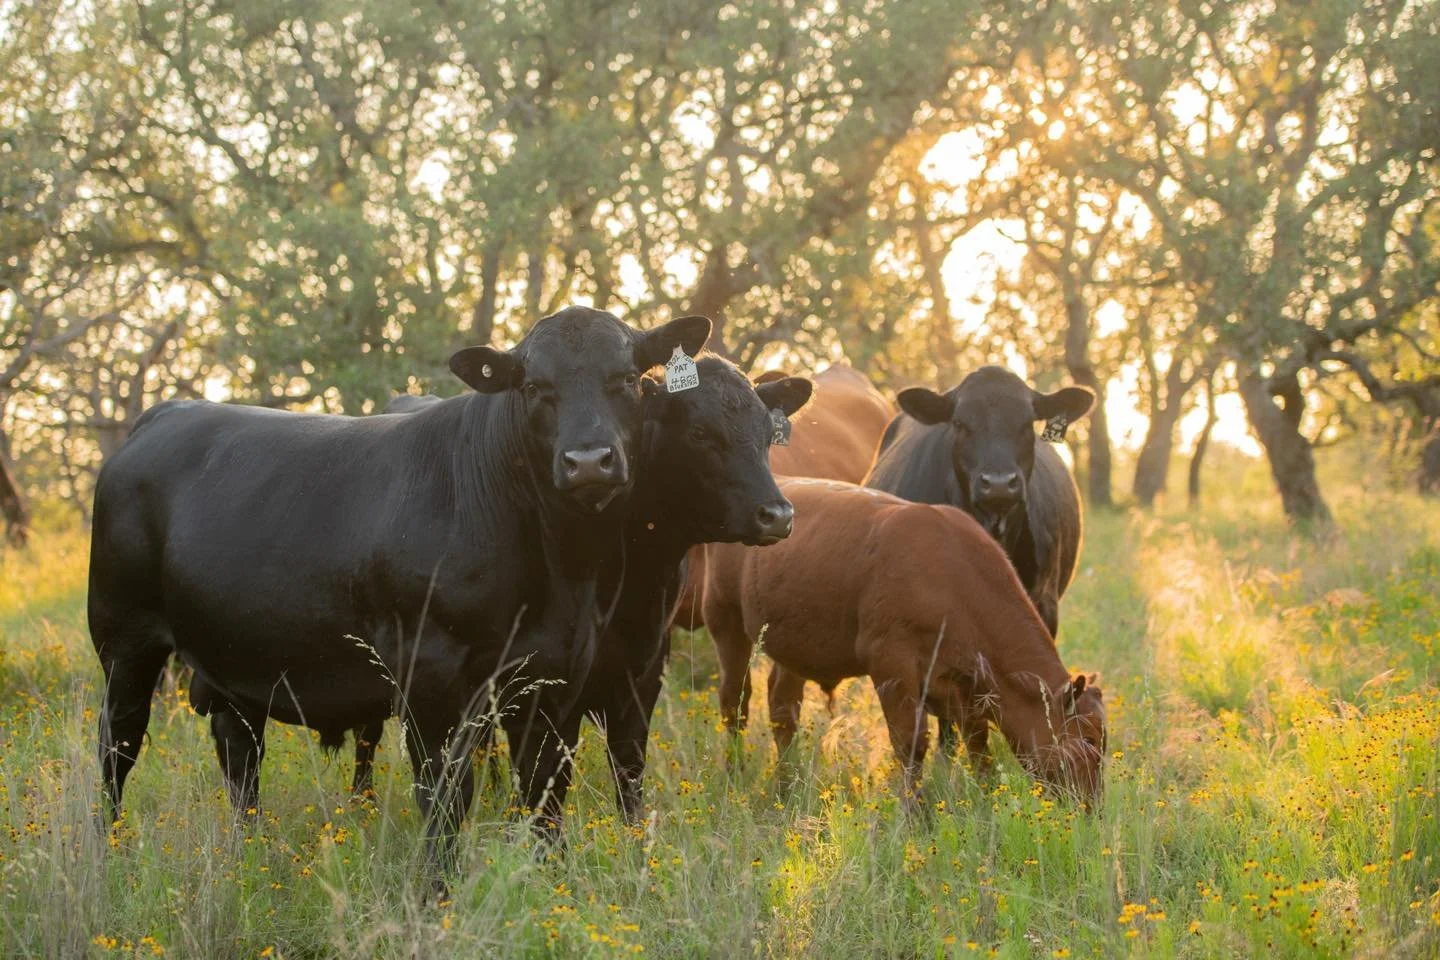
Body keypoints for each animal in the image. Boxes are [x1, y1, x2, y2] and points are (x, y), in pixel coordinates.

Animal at [88, 306, 709, 893]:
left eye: (627, 378)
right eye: (535, 386)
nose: (587, 461)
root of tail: (168, 413)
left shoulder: (554, 679)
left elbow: (542, 796)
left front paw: (550, 886)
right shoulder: (430, 677)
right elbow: (445, 796)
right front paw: (438, 892)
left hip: (233, 662)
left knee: (239, 754)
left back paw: (249, 856)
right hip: (125, 641)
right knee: (119, 744)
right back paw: (109, 852)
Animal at [703, 478, 1107, 806]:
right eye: (1087, 738)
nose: (1092, 807)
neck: (953, 578)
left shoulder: (965, 685)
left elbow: (978, 746)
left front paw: (988, 802)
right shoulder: (892, 668)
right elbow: (911, 745)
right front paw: (916, 814)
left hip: (793, 644)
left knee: (783, 708)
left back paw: (789, 785)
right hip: (726, 624)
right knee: (735, 703)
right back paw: (735, 777)